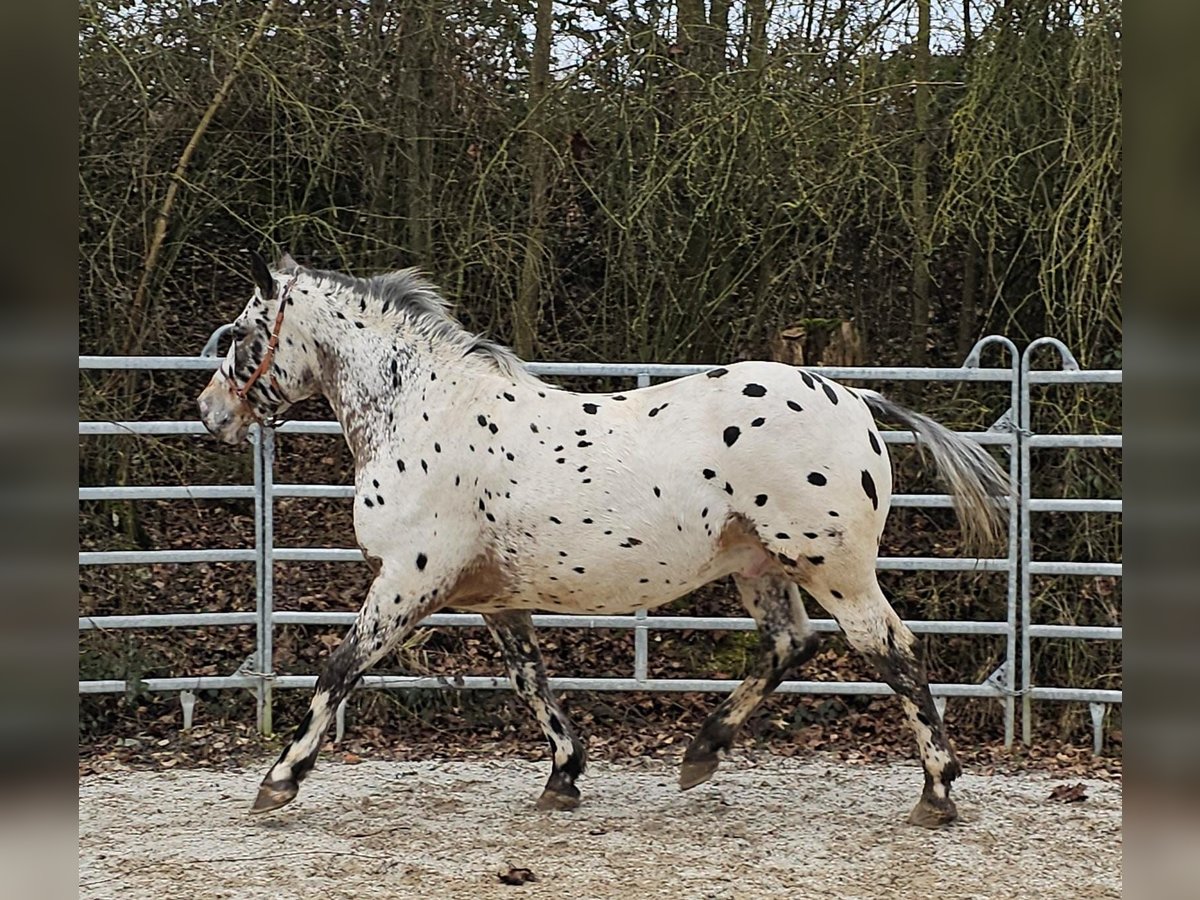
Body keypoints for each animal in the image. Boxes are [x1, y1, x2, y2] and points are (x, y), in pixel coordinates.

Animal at [199, 252, 1012, 830]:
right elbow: (531, 681)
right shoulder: (496, 600)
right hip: (760, 563)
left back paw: (937, 793)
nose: (209, 413)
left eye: (239, 336)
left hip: (831, 565)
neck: (425, 411)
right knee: (788, 644)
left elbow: (338, 671)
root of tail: (854, 398)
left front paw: (278, 782)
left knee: (893, 651)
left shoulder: (407, 582)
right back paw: (699, 756)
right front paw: (563, 777)